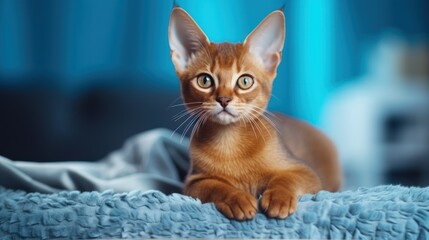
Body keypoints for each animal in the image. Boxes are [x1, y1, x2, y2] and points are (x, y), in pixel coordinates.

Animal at [167, 6, 342, 220]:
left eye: (245, 81)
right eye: (204, 80)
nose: (224, 99)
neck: (230, 142)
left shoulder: (305, 171)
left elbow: (286, 178)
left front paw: (279, 198)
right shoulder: (193, 183)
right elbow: (217, 186)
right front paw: (237, 198)